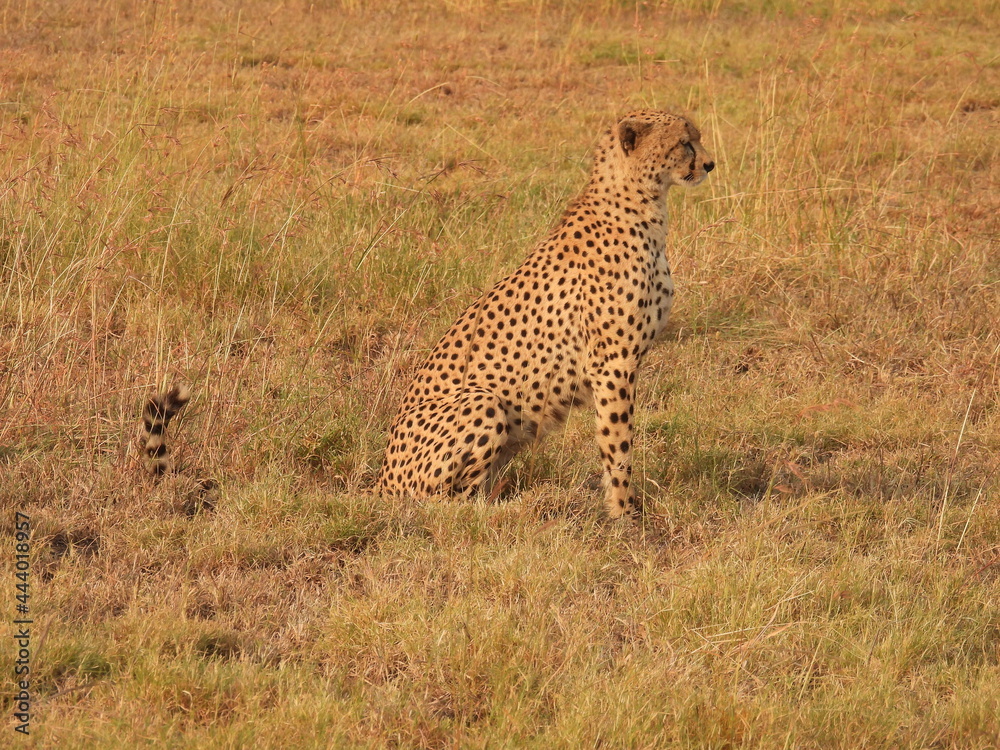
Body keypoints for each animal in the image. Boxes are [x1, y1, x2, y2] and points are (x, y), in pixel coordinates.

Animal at [378, 111, 716, 520]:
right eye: (685, 142)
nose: (709, 164)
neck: (641, 204)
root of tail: (380, 484)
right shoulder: (612, 363)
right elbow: (617, 443)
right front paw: (623, 512)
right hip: (482, 401)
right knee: (446, 506)